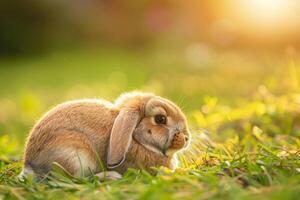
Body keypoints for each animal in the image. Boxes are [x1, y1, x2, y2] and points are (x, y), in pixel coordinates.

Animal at [20, 91, 190, 180]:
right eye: (160, 119)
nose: (187, 138)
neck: (136, 139)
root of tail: (30, 165)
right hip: (74, 155)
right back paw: (110, 176)